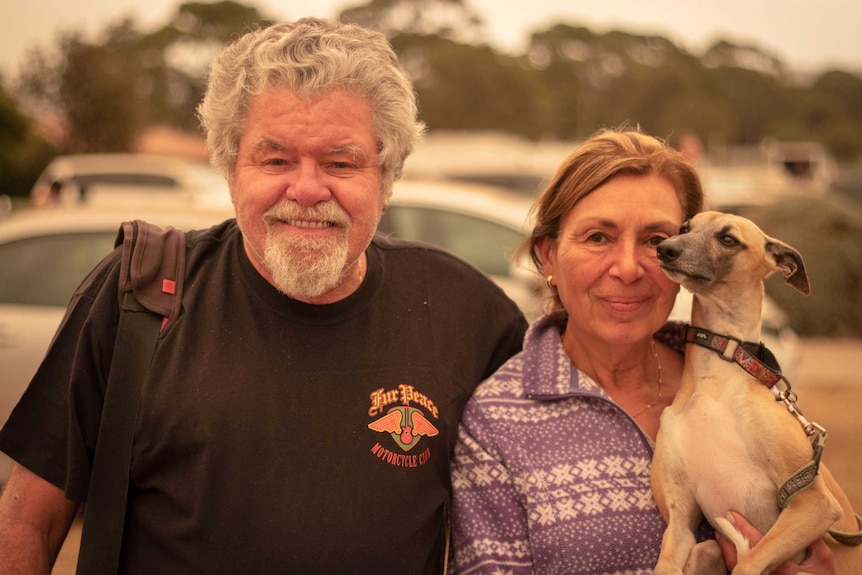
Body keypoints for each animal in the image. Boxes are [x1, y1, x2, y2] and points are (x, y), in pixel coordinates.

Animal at [656, 213, 844, 575]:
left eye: (728, 239)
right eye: (685, 228)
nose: (664, 249)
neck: (716, 377)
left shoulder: (814, 502)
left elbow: (748, 565)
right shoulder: (680, 521)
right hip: (706, 550)